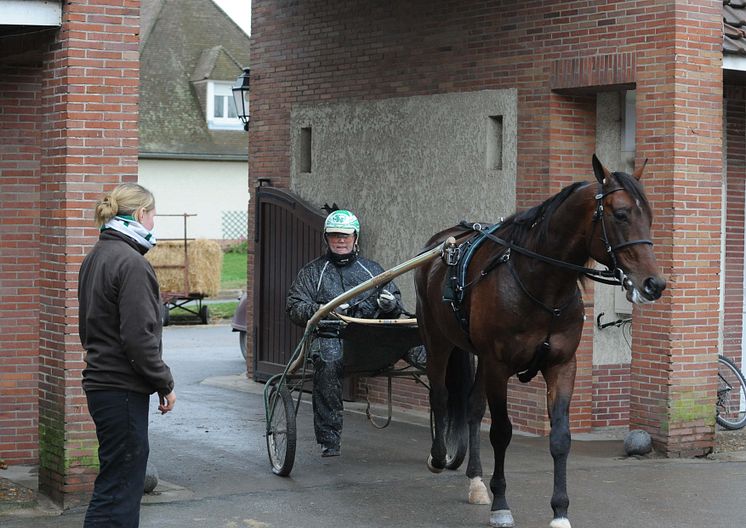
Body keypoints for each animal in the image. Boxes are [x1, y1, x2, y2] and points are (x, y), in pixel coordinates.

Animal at [412, 155, 664, 524]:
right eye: (620, 214)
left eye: (649, 215)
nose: (654, 284)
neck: (541, 283)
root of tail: (442, 243)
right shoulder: (499, 366)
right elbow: (501, 432)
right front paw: (502, 505)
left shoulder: (562, 365)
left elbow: (560, 438)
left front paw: (560, 510)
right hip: (438, 339)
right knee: (441, 396)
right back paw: (438, 456)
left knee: (472, 408)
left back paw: (475, 480)